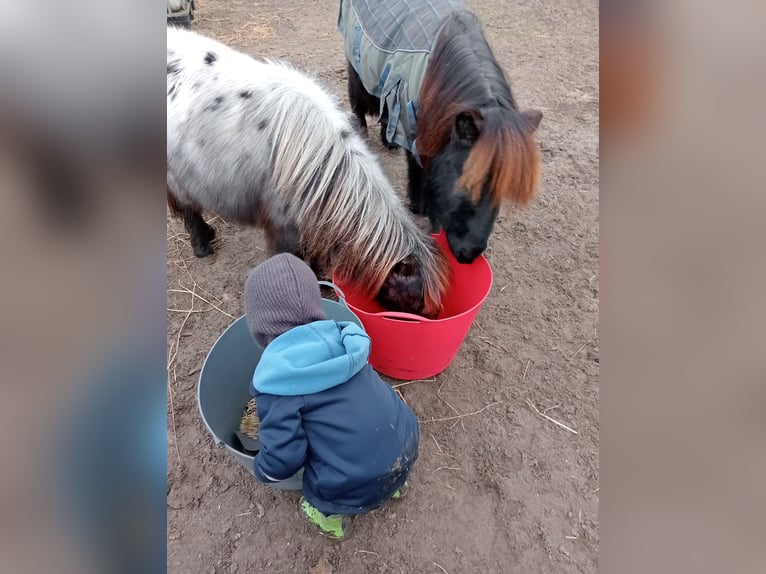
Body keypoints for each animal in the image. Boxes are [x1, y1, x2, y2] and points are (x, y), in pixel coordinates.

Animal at [348, 9, 540, 266]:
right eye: (467, 182)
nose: (468, 254)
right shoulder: (418, 140)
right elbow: (420, 182)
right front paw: (422, 218)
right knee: (358, 98)